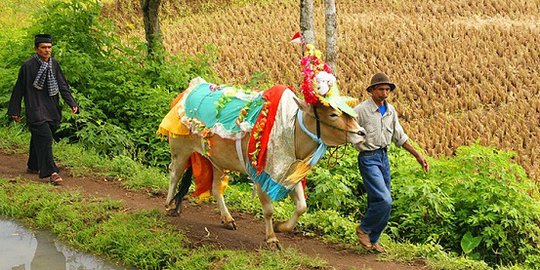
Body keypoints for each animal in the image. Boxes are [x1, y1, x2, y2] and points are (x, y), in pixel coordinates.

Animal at [157, 44, 368, 249]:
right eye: (333, 114)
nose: (362, 133)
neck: (292, 131)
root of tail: (187, 91)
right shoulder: (261, 176)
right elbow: (268, 210)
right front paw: (272, 239)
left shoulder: (291, 174)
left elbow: (302, 207)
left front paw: (282, 227)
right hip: (181, 151)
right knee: (174, 173)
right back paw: (168, 205)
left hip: (216, 160)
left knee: (216, 188)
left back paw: (227, 219)